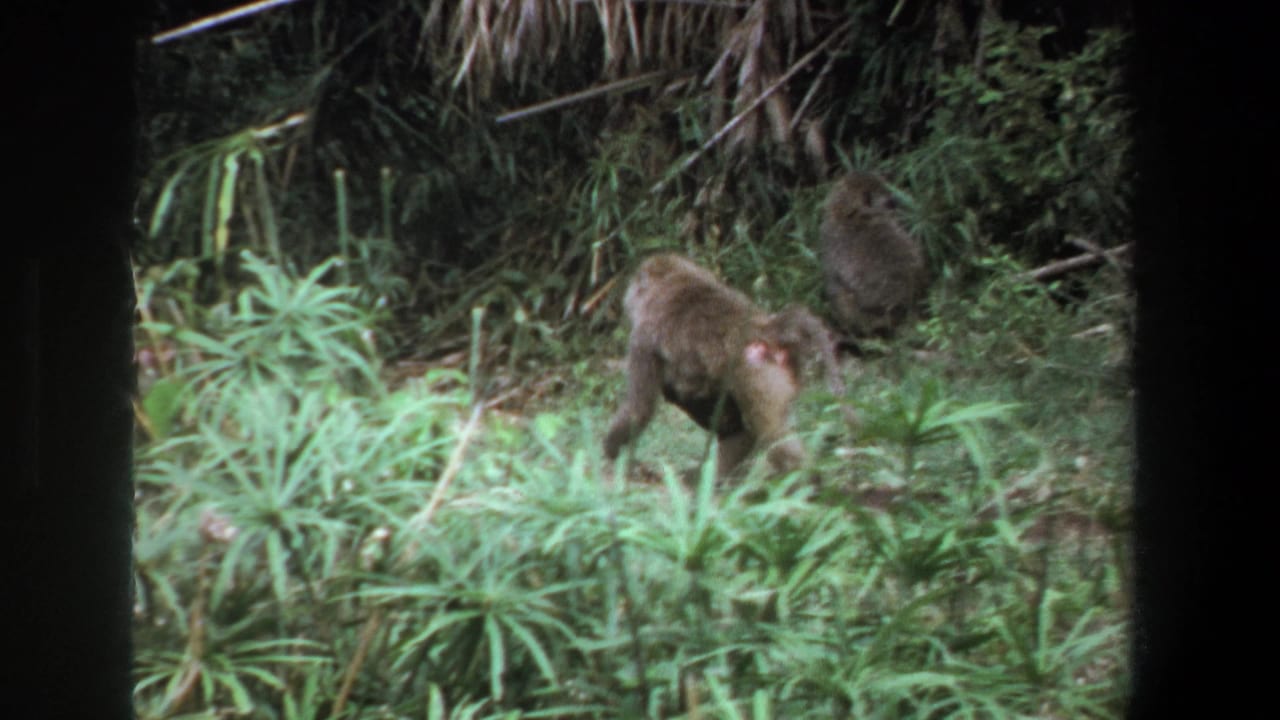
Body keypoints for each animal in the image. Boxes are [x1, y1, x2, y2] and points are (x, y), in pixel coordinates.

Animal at [603, 253, 853, 480]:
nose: (626, 301)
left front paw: (609, 453)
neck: (673, 283)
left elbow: (639, 408)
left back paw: (801, 477)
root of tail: (765, 329)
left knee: (771, 433)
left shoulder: (642, 339)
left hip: (754, 372)